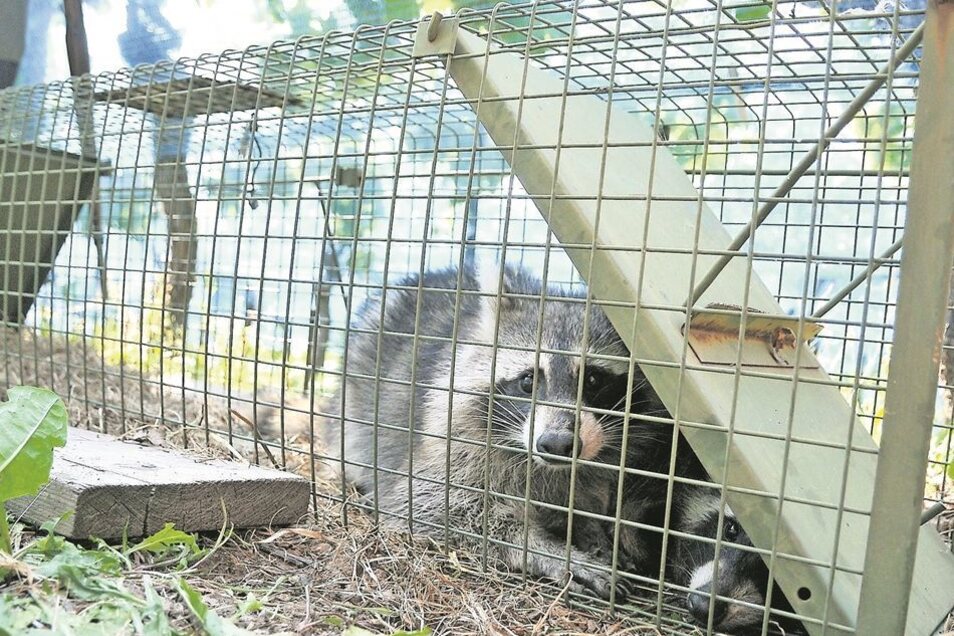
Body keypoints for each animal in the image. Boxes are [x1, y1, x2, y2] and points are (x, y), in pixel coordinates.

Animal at [324, 264, 664, 600]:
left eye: (593, 380)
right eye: (528, 380)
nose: (556, 444)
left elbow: (585, 496)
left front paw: (589, 529)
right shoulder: (453, 441)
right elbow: (434, 505)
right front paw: (548, 551)